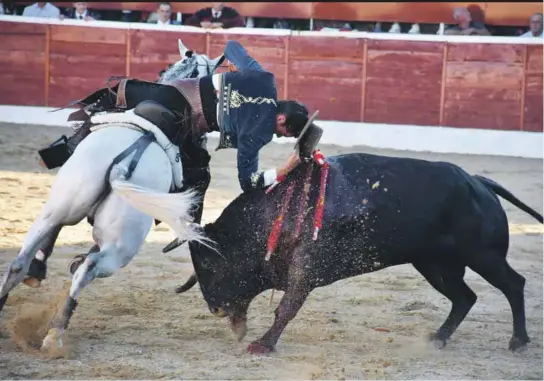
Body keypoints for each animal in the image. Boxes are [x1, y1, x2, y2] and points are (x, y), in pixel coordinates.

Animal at [0, 38, 223, 350]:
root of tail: (123, 163)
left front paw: (40, 269)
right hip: (123, 246)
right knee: (89, 267)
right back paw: (56, 332)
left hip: (59, 209)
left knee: (20, 262)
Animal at [182, 151, 544, 354]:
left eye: (209, 265)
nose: (215, 309)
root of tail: (479, 182)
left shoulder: (305, 268)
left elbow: (286, 308)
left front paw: (263, 345)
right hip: (434, 265)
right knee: (465, 297)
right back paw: (438, 339)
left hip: (484, 256)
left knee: (513, 284)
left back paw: (518, 341)